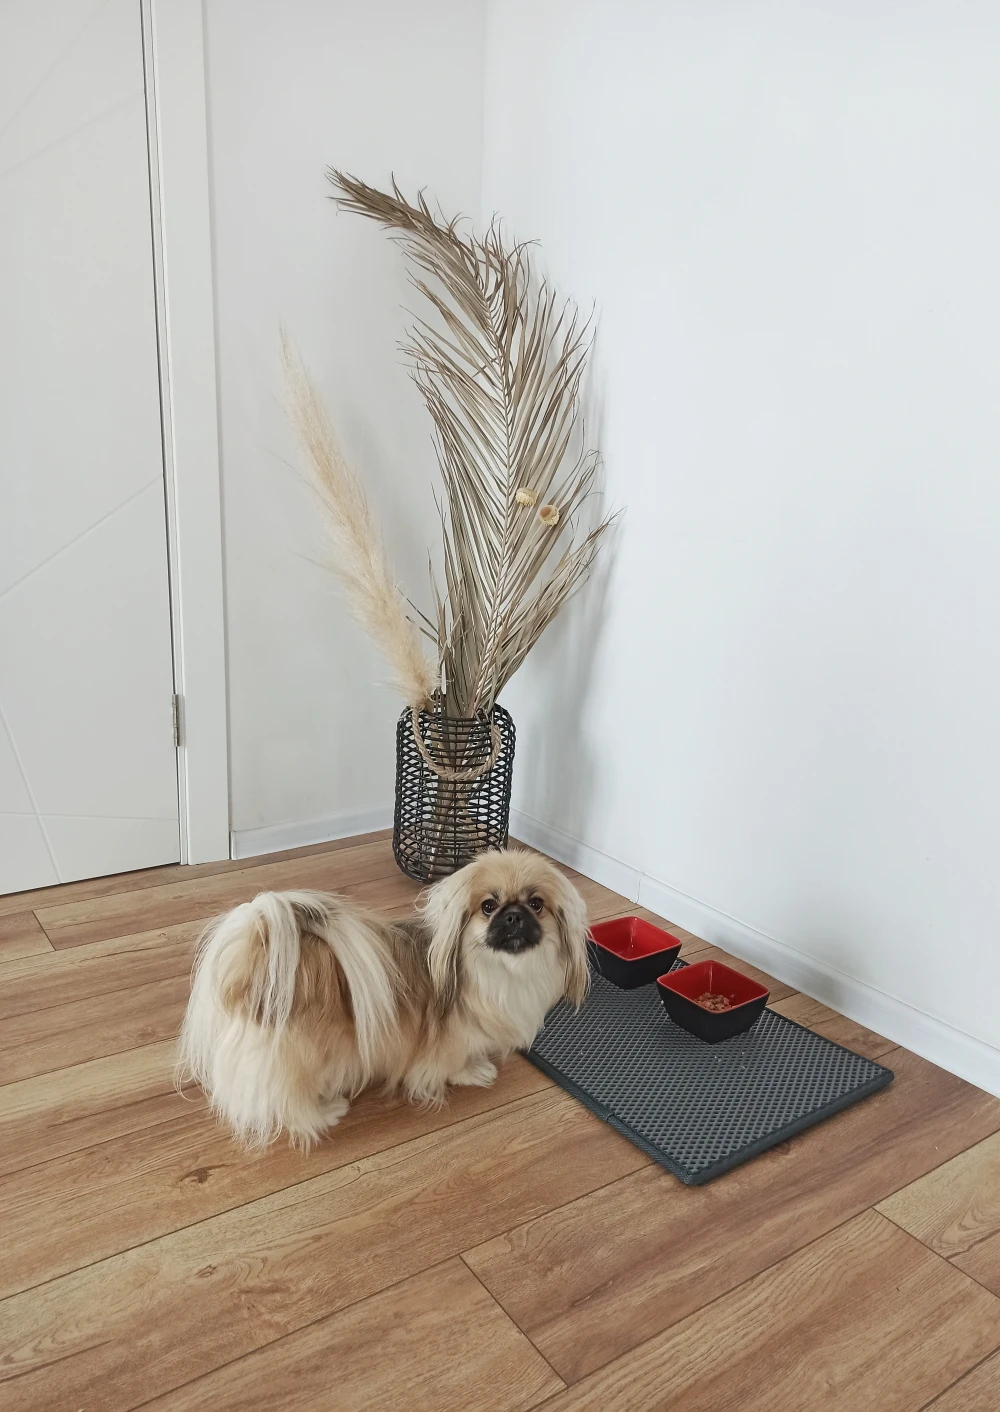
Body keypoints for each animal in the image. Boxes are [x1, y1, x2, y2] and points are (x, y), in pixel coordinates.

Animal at [178, 848, 590, 1147]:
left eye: (536, 904)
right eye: (489, 906)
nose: (515, 916)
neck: (500, 967)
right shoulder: (452, 1039)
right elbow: (454, 1060)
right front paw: (475, 1071)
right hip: (299, 1056)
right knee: (289, 1099)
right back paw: (326, 1112)